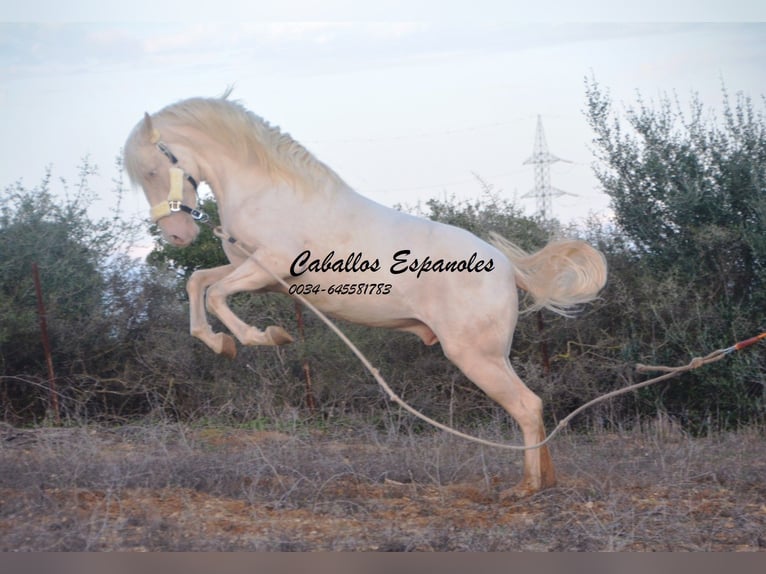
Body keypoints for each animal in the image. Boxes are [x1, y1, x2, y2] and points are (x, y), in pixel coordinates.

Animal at [124, 93, 608, 496]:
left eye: (152, 170)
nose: (177, 235)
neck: (271, 190)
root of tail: (507, 268)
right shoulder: (255, 270)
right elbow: (199, 283)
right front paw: (220, 343)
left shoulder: (270, 266)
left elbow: (217, 295)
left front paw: (264, 336)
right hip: (493, 356)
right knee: (535, 407)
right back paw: (542, 482)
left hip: (476, 357)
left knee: (526, 407)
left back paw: (527, 488)